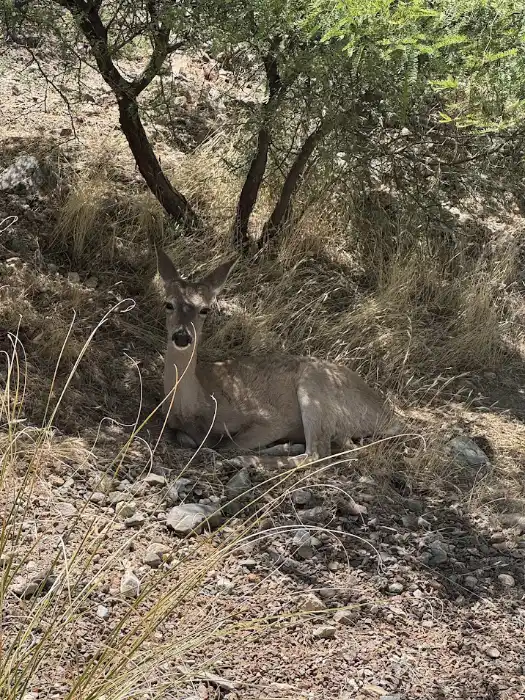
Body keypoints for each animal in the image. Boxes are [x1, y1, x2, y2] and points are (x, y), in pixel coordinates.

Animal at [157, 249, 403, 463]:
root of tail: (388, 415)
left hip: (314, 388)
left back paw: (252, 460)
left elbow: (227, 444)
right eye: (168, 304)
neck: (198, 403)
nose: (182, 336)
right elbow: (190, 438)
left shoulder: (271, 418)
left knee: (317, 453)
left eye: (205, 309)